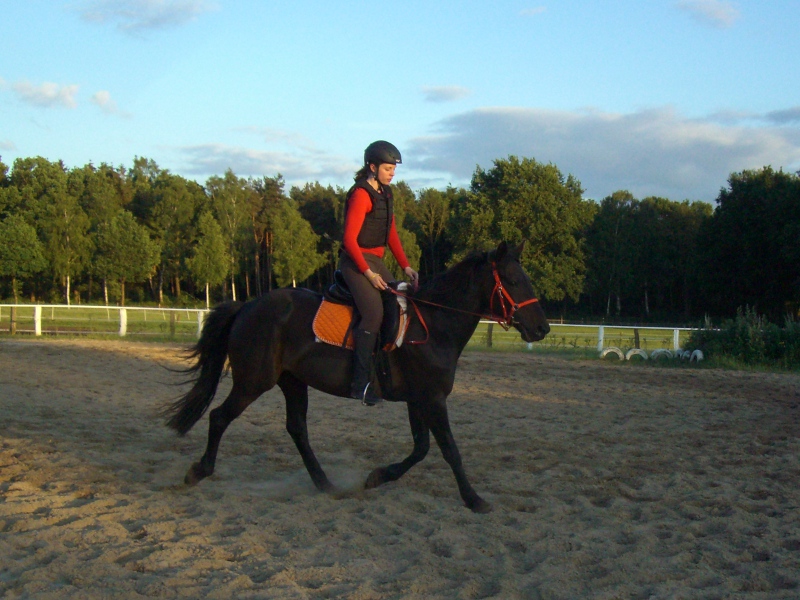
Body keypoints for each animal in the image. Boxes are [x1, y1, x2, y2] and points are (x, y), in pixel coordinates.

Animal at [163, 240, 550, 513]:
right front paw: (474, 500)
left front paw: (377, 477)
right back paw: (198, 471)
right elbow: (449, 450)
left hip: (292, 381)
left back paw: (326, 485)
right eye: (513, 281)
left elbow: (421, 448)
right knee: (219, 417)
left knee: (297, 429)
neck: (434, 323)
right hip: (253, 382)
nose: (542, 329)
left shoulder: (418, 399)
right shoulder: (432, 399)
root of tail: (247, 306)